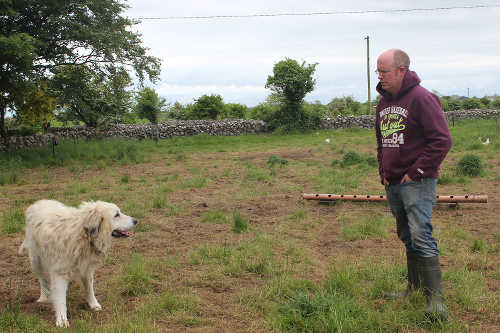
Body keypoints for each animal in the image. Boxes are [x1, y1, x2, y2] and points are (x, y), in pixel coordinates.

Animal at [18, 198, 137, 326]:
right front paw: (62, 319)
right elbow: (60, 298)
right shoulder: (59, 272)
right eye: (116, 215)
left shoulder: (86, 267)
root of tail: (38, 202)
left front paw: (93, 304)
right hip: (36, 260)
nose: (136, 221)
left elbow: (89, 288)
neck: (82, 234)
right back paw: (44, 297)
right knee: (42, 280)